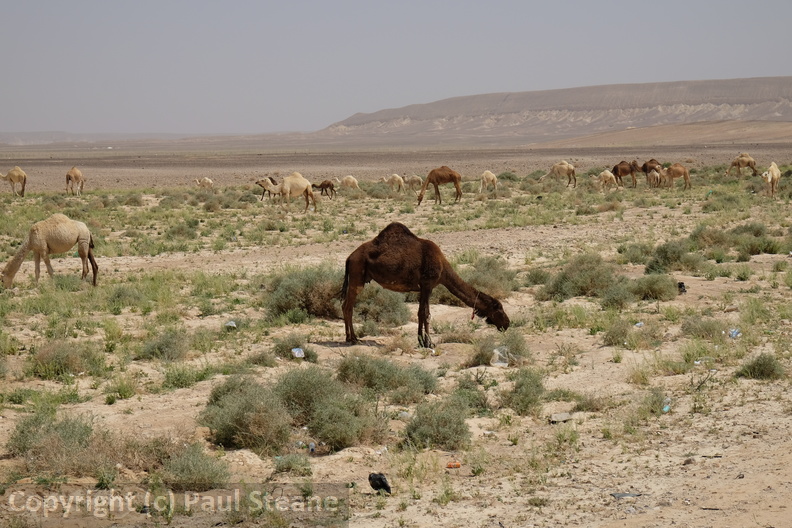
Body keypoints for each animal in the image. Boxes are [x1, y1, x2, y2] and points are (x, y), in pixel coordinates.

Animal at [341, 222, 510, 348]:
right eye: (499, 309)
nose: (507, 323)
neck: (443, 269)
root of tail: (349, 257)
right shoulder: (428, 284)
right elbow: (427, 314)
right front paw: (429, 343)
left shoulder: (422, 287)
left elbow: (420, 313)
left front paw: (421, 341)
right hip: (357, 275)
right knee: (348, 306)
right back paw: (353, 339)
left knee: (345, 305)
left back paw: (349, 337)